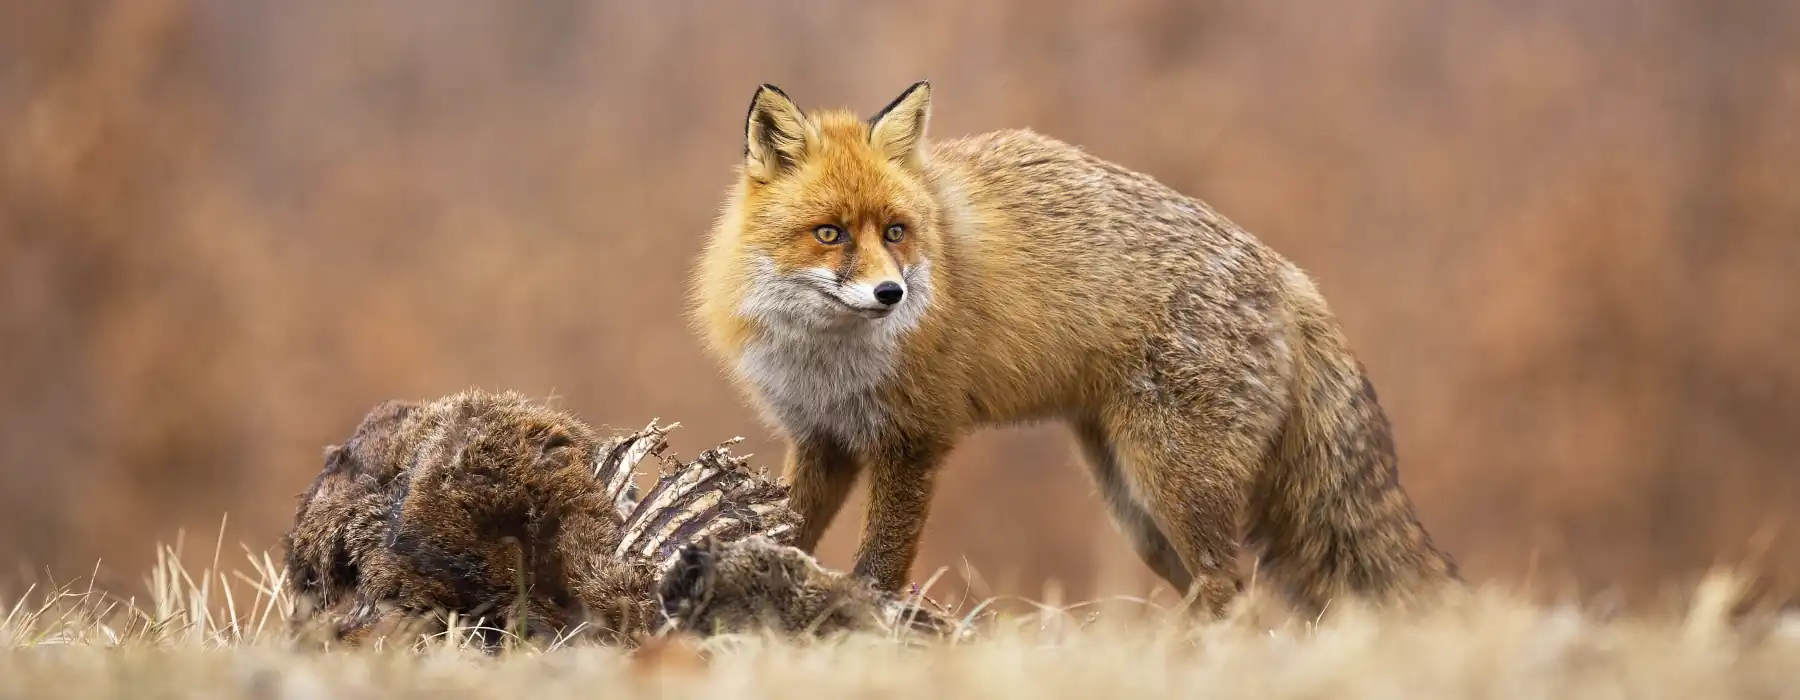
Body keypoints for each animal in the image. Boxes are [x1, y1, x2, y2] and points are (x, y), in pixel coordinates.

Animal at [689, 80, 1460, 618]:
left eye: (897, 231)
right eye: (830, 234)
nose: (891, 295)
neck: (826, 358)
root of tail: (1292, 277)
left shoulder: (914, 438)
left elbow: (880, 566)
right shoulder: (821, 437)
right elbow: (791, 531)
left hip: (1173, 484)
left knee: (1230, 589)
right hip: (1138, 510)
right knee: (1221, 595)